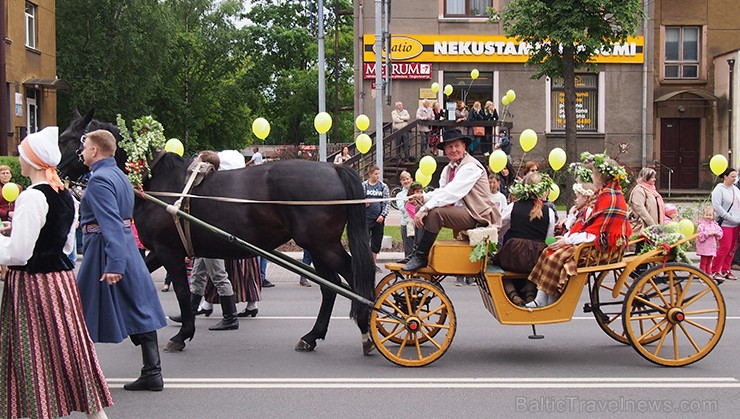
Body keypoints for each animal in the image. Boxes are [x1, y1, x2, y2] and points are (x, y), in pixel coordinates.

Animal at [57, 110, 376, 354]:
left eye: (68, 140)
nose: (56, 173)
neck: (157, 180)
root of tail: (333, 170)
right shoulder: (160, 252)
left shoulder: (169, 252)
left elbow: (182, 292)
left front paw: (181, 335)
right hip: (319, 247)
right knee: (330, 287)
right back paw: (314, 336)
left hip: (323, 245)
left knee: (356, 277)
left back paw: (366, 328)